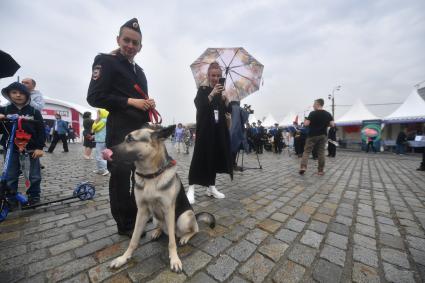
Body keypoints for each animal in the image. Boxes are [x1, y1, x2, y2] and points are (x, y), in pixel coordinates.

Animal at [107, 126, 214, 272]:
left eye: (130, 139)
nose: (106, 151)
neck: (150, 176)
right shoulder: (142, 211)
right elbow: (134, 239)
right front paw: (123, 258)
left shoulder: (169, 210)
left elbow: (172, 243)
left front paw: (174, 259)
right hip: (155, 218)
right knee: (162, 228)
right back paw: (157, 232)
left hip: (184, 217)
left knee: (194, 230)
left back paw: (185, 237)